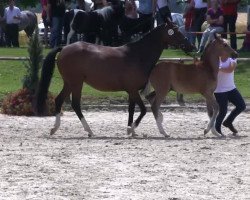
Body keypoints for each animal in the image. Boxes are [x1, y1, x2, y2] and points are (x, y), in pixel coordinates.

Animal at [36, 19, 194, 138]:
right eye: (175, 30)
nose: (191, 46)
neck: (137, 55)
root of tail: (64, 48)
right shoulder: (133, 90)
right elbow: (143, 110)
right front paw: (132, 129)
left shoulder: (131, 91)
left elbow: (131, 110)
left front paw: (131, 131)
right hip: (76, 83)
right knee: (75, 104)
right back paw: (89, 131)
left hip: (69, 83)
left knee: (59, 100)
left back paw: (54, 129)